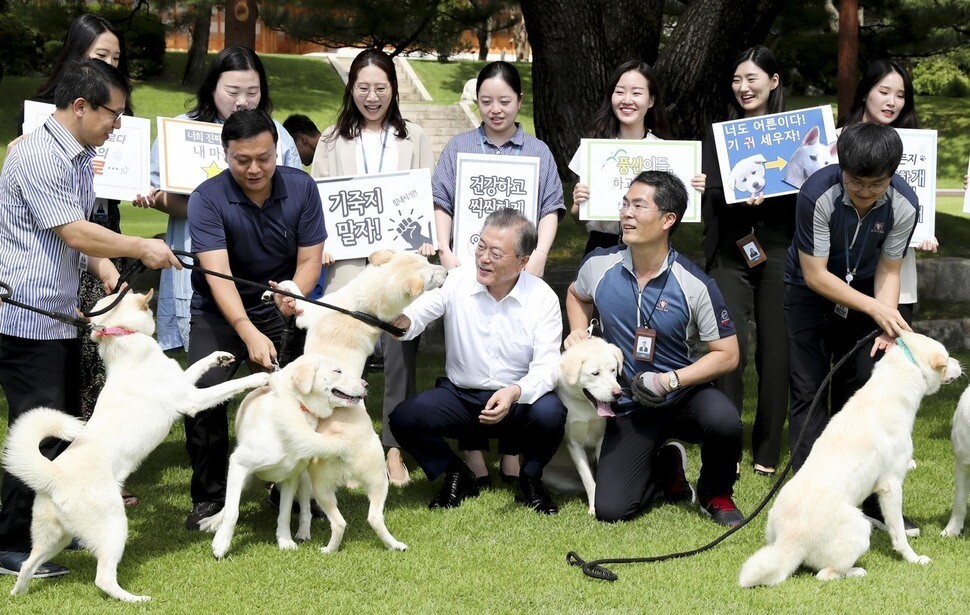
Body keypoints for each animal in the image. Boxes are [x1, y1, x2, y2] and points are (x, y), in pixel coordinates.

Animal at [3, 292, 270, 604]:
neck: (123, 340)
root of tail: (54, 476)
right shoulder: (192, 400)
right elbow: (231, 386)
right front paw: (260, 378)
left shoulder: (184, 383)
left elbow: (196, 367)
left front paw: (219, 357)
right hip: (114, 527)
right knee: (103, 578)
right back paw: (136, 599)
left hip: (54, 538)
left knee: (27, 565)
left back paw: (18, 595)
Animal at [197, 352, 366, 560]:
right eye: (337, 370)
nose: (366, 383)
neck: (296, 407)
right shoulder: (238, 464)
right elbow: (232, 511)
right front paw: (221, 543)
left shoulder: (291, 477)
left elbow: (284, 514)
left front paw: (285, 541)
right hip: (246, 480)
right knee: (228, 504)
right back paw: (213, 521)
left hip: (304, 480)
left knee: (306, 509)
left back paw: (303, 532)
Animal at [544, 336, 620, 516]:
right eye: (595, 373)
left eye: (613, 370)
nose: (618, 394)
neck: (586, 406)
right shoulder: (574, 444)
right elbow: (588, 480)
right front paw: (593, 507)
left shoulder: (601, 438)